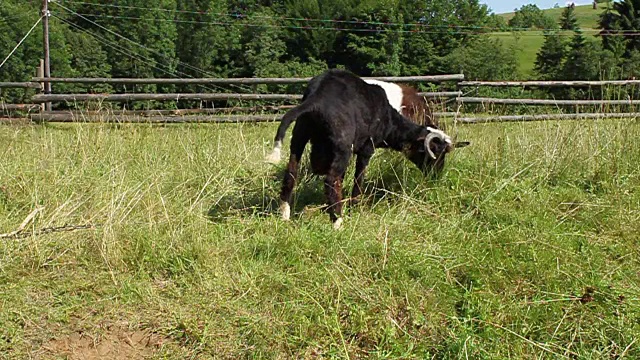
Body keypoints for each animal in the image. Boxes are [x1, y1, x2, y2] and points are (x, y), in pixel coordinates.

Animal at [268, 69, 468, 229]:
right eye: (435, 152)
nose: (436, 176)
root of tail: (317, 98)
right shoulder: (366, 149)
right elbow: (358, 180)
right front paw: (354, 207)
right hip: (343, 147)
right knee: (330, 181)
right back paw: (338, 222)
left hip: (299, 138)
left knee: (291, 174)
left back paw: (285, 215)